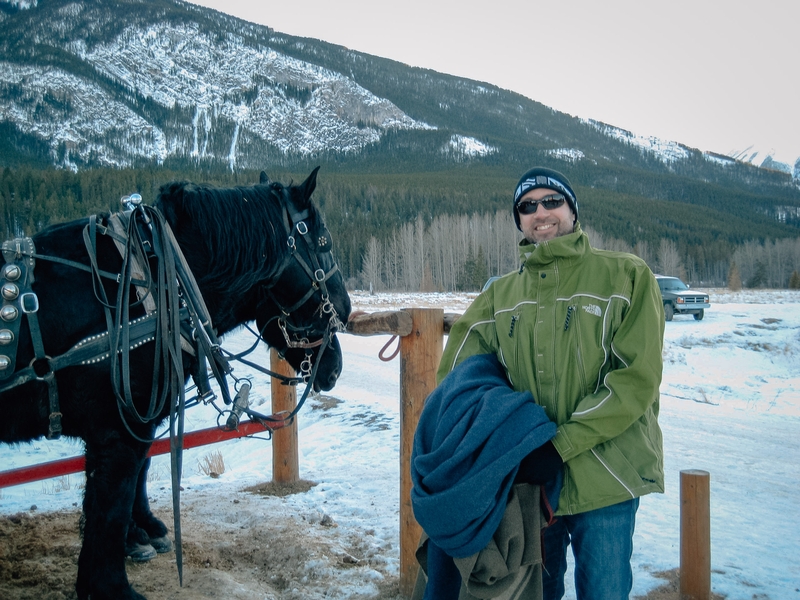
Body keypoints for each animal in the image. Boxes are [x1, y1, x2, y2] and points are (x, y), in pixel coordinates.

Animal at [0, 168, 350, 600]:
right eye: (324, 244)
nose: (345, 314)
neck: (153, 284)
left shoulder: (136, 422)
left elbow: (137, 475)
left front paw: (142, 533)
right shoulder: (119, 432)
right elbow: (109, 509)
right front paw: (112, 584)